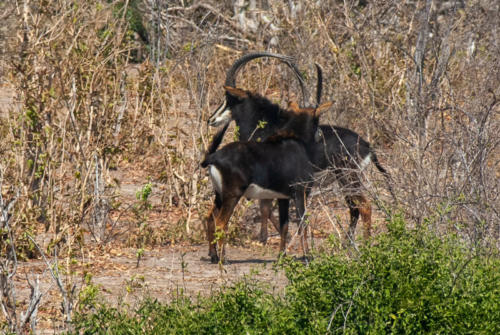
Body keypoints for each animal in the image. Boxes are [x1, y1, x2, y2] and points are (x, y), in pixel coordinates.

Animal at [201, 95, 334, 266]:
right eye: (317, 119)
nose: (320, 135)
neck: (298, 143)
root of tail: (213, 157)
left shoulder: (283, 197)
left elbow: (285, 226)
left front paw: (282, 256)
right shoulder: (300, 193)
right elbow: (302, 224)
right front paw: (307, 257)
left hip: (219, 195)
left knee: (210, 218)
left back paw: (214, 256)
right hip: (232, 195)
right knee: (221, 223)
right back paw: (224, 259)